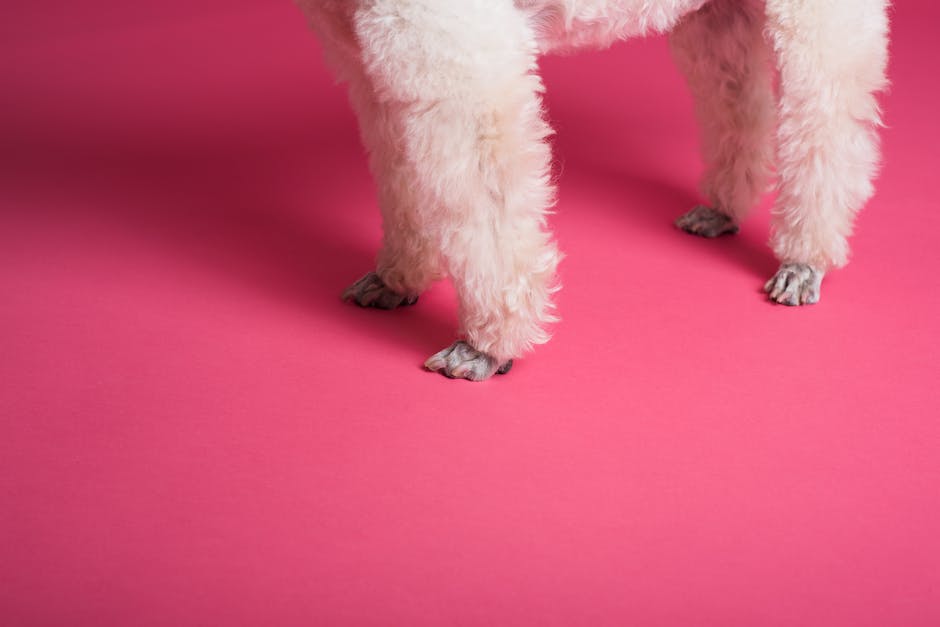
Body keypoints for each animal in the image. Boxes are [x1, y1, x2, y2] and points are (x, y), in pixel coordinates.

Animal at [298, 0, 892, 380]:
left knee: (827, 121)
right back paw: (723, 208)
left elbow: (485, 209)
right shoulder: (377, 61)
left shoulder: (460, 64)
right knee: (738, 99)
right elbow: (404, 177)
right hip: (720, 18)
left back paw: (805, 259)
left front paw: (486, 346)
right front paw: (398, 279)